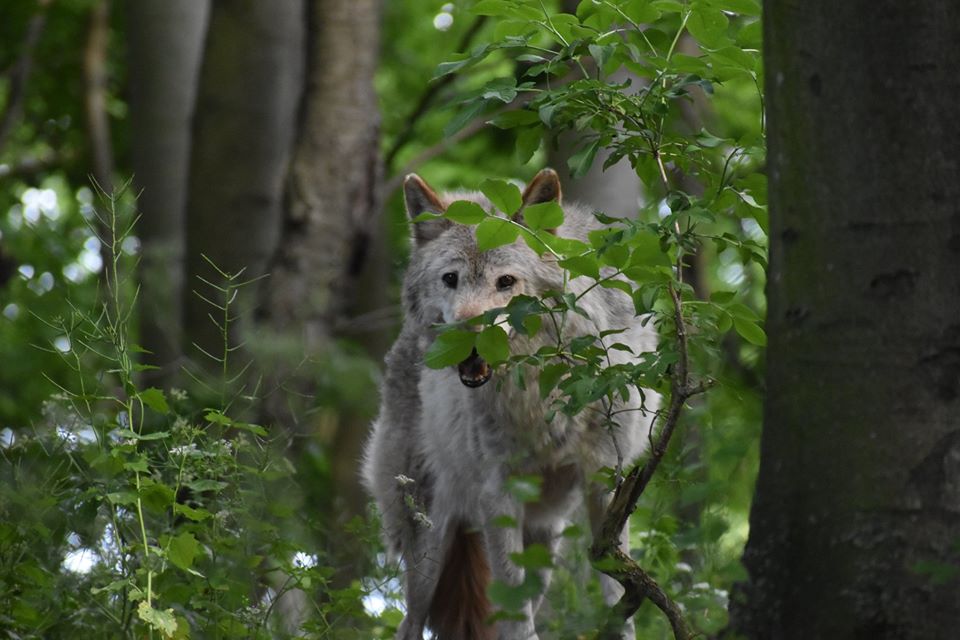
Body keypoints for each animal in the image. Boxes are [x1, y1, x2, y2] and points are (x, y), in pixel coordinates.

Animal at [362, 169, 658, 640]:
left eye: (506, 282)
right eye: (450, 279)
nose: (466, 338)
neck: (540, 391)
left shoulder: (605, 483)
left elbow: (617, 589)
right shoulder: (498, 492)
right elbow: (515, 614)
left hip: (545, 537)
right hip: (430, 540)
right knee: (411, 623)